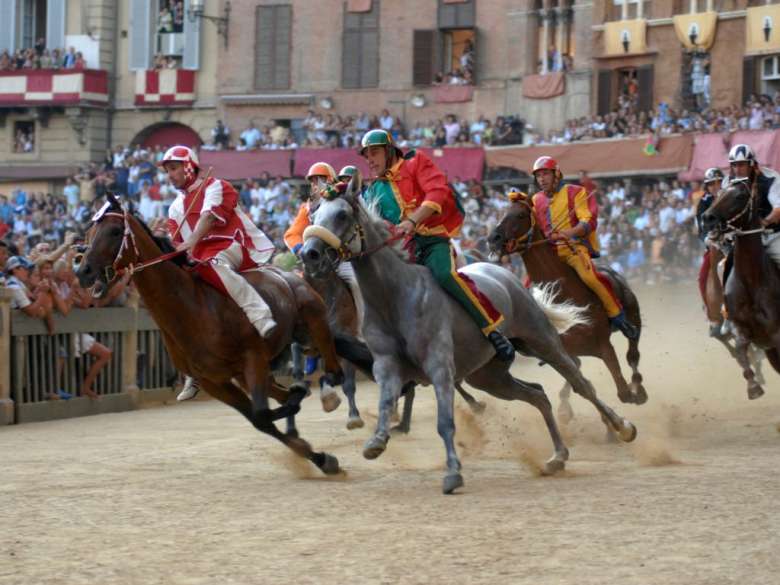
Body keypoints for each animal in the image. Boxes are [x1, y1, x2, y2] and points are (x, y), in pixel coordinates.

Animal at [75, 194, 350, 476]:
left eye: (115, 231)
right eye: (89, 231)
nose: (83, 271)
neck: (193, 309)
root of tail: (287, 274)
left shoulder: (252, 357)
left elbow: (262, 414)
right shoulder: (214, 380)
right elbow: (260, 419)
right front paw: (320, 457)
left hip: (313, 320)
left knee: (334, 370)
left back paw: (327, 393)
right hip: (249, 370)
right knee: (285, 390)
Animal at [488, 192, 644, 420]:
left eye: (520, 215)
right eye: (502, 212)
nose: (493, 238)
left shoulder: (602, 344)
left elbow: (622, 390)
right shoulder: (563, 346)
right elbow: (576, 372)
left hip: (633, 314)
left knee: (633, 351)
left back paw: (639, 389)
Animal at [700, 178, 780, 396]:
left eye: (739, 196)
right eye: (719, 194)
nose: (708, 218)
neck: (752, 280)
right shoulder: (739, 327)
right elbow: (739, 349)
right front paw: (753, 385)